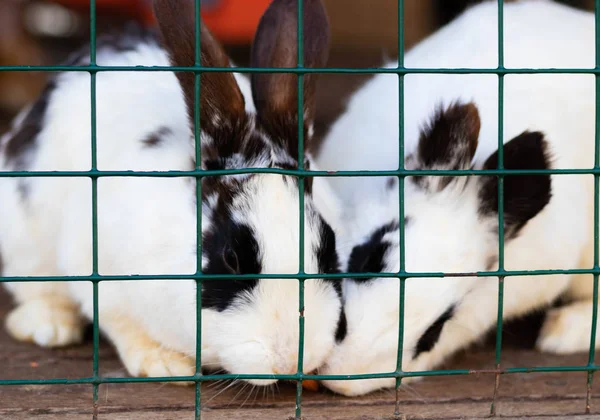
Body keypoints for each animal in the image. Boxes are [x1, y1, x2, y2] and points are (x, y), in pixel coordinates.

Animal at [0, 0, 346, 384]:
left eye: (328, 248)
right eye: (231, 258)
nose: (289, 361)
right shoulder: (95, 268)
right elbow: (124, 326)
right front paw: (164, 364)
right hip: (23, 239)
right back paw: (50, 326)